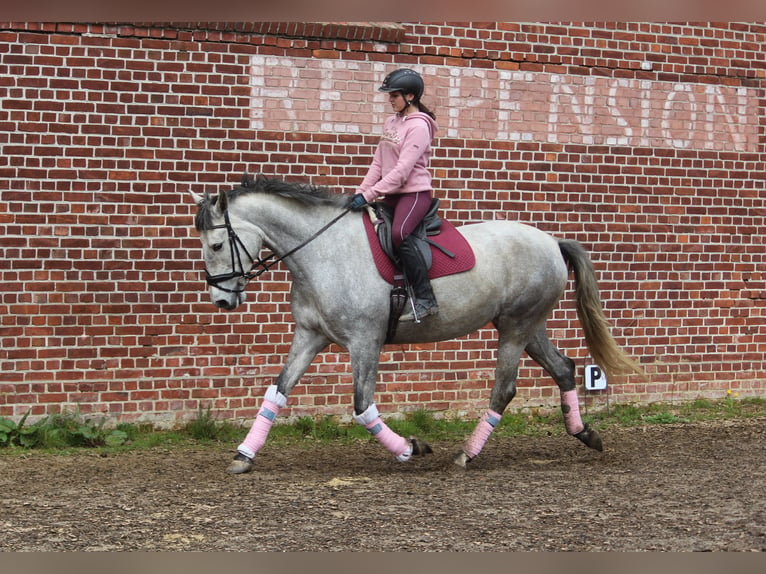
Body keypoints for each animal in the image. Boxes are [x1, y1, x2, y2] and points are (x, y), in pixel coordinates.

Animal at [190, 178, 640, 474]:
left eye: (217, 244)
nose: (221, 300)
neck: (323, 252)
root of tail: (551, 241)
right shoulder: (310, 337)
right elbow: (277, 391)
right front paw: (244, 455)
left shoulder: (364, 341)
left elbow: (362, 408)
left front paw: (410, 449)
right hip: (529, 326)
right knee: (563, 368)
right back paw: (585, 433)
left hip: (516, 327)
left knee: (505, 388)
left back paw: (467, 453)